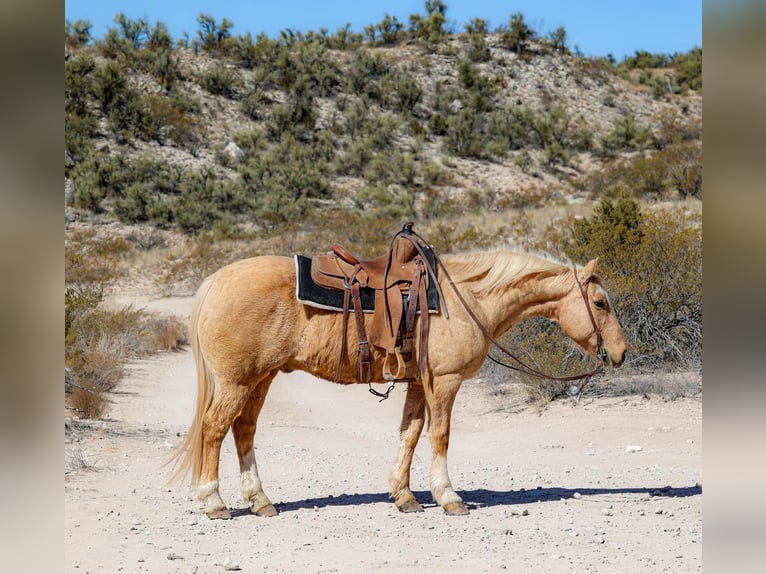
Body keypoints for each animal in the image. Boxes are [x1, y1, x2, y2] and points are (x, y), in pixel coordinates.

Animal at [172, 250, 632, 520]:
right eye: (600, 303)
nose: (621, 352)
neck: (465, 298)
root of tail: (215, 281)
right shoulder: (444, 381)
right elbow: (440, 435)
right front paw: (448, 496)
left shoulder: (416, 382)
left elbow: (409, 433)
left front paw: (404, 495)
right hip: (237, 381)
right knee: (214, 429)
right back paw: (214, 502)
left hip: (261, 378)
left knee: (243, 430)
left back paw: (261, 501)